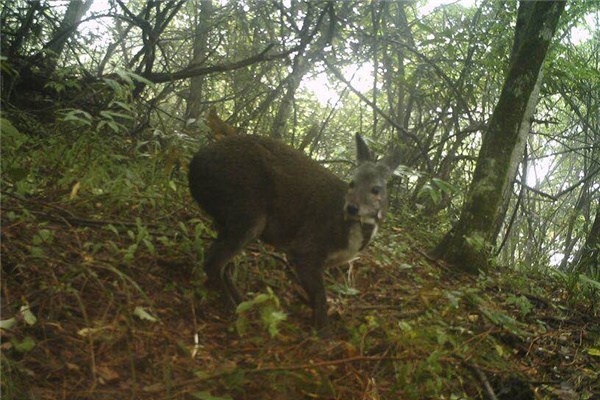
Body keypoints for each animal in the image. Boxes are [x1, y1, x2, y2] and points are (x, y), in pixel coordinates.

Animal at [188, 134, 400, 332]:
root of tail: (194, 164)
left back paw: (242, 302)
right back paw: (232, 308)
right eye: (352, 183)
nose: (352, 208)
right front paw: (324, 334)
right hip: (247, 211)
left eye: (376, 189)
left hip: (227, 218)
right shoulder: (306, 248)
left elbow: (314, 295)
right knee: (213, 262)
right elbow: (320, 295)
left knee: (223, 265)